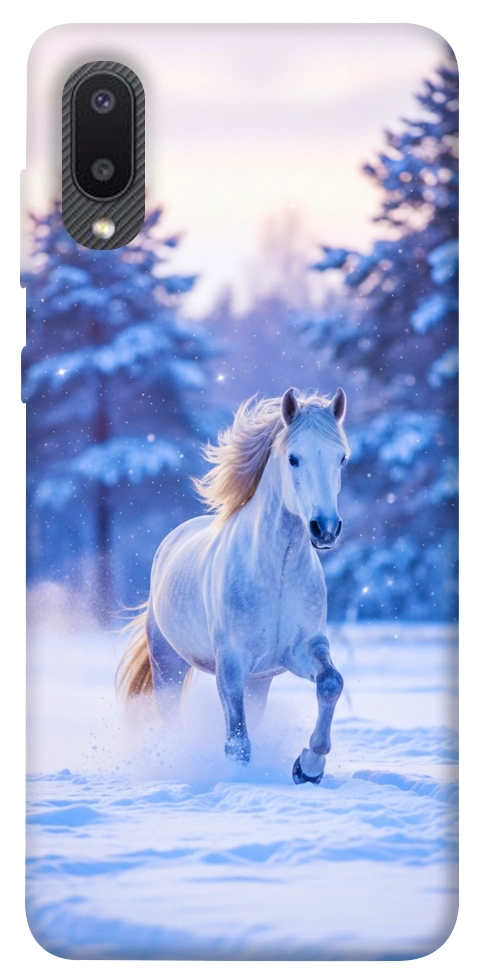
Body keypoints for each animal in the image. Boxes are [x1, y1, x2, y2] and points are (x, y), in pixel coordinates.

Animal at [118, 387, 350, 784]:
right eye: (294, 458)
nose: (325, 529)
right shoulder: (231, 664)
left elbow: (331, 683)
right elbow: (237, 742)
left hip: (259, 682)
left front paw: (308, 767)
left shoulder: (301, 649)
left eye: (341, 459)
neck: (277, 573)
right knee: (171, 717)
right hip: (168, 665)